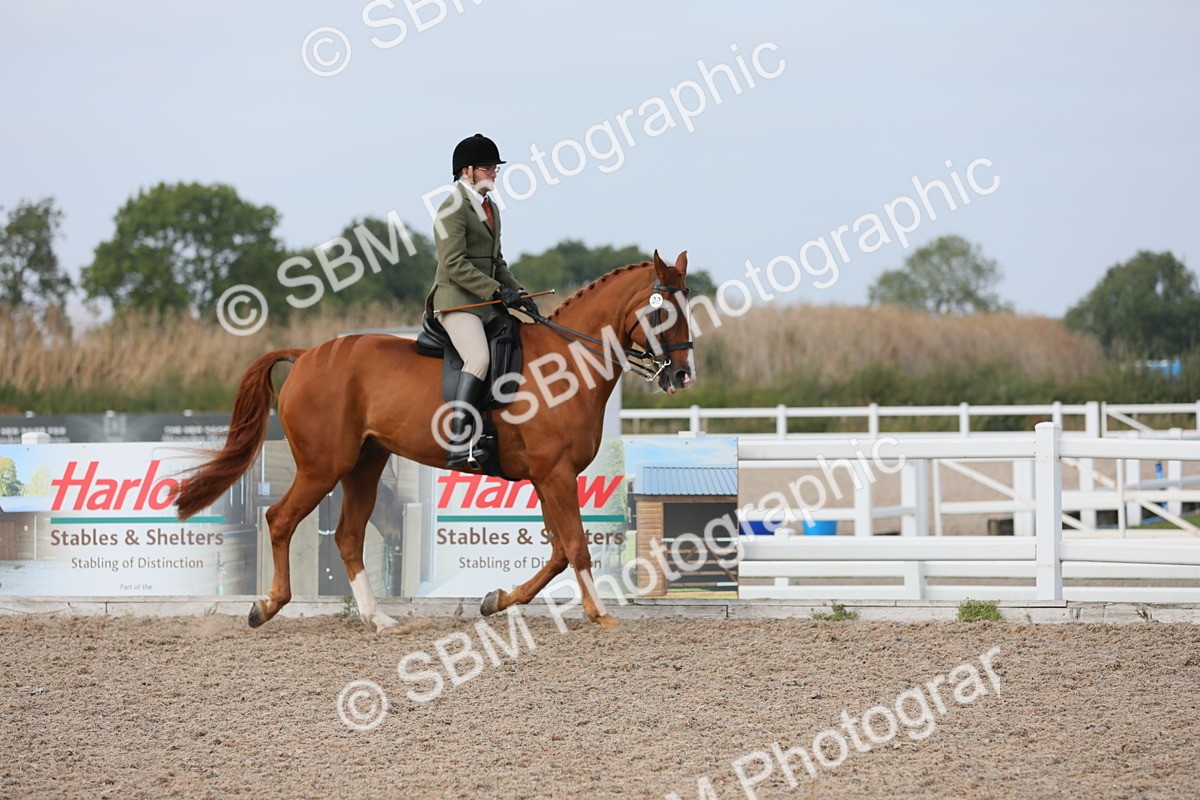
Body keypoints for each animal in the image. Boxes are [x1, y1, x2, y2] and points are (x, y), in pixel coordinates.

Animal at [175, 251, 695, 631]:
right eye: (663, 312)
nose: (683, 376)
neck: (566, 364)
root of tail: (304, 355)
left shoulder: (548, 477)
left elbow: (559, 552)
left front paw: (495, 600)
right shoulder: (556, 474)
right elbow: (577, 546)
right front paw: (600, 614)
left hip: (364, 465)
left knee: (348, 536)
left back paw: (378, 618)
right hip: (324, 466)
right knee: (281, 520)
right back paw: (266, 607)